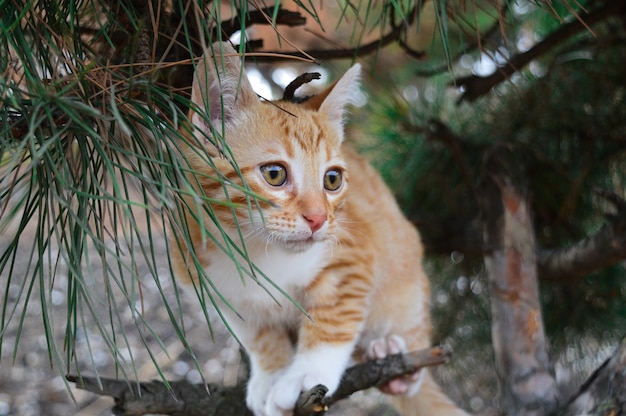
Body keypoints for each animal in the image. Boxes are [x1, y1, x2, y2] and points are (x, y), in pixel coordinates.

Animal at [168, 42, 466, 416]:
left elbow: (333, 320)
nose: (318, 218)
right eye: (275, 174)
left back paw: (395, 363)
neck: (258, 249)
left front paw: (303, 374)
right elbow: (257, 335)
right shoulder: (212, 284)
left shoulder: (353, 255)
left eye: (332, 179)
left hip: (405, 284)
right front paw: (270, 374)